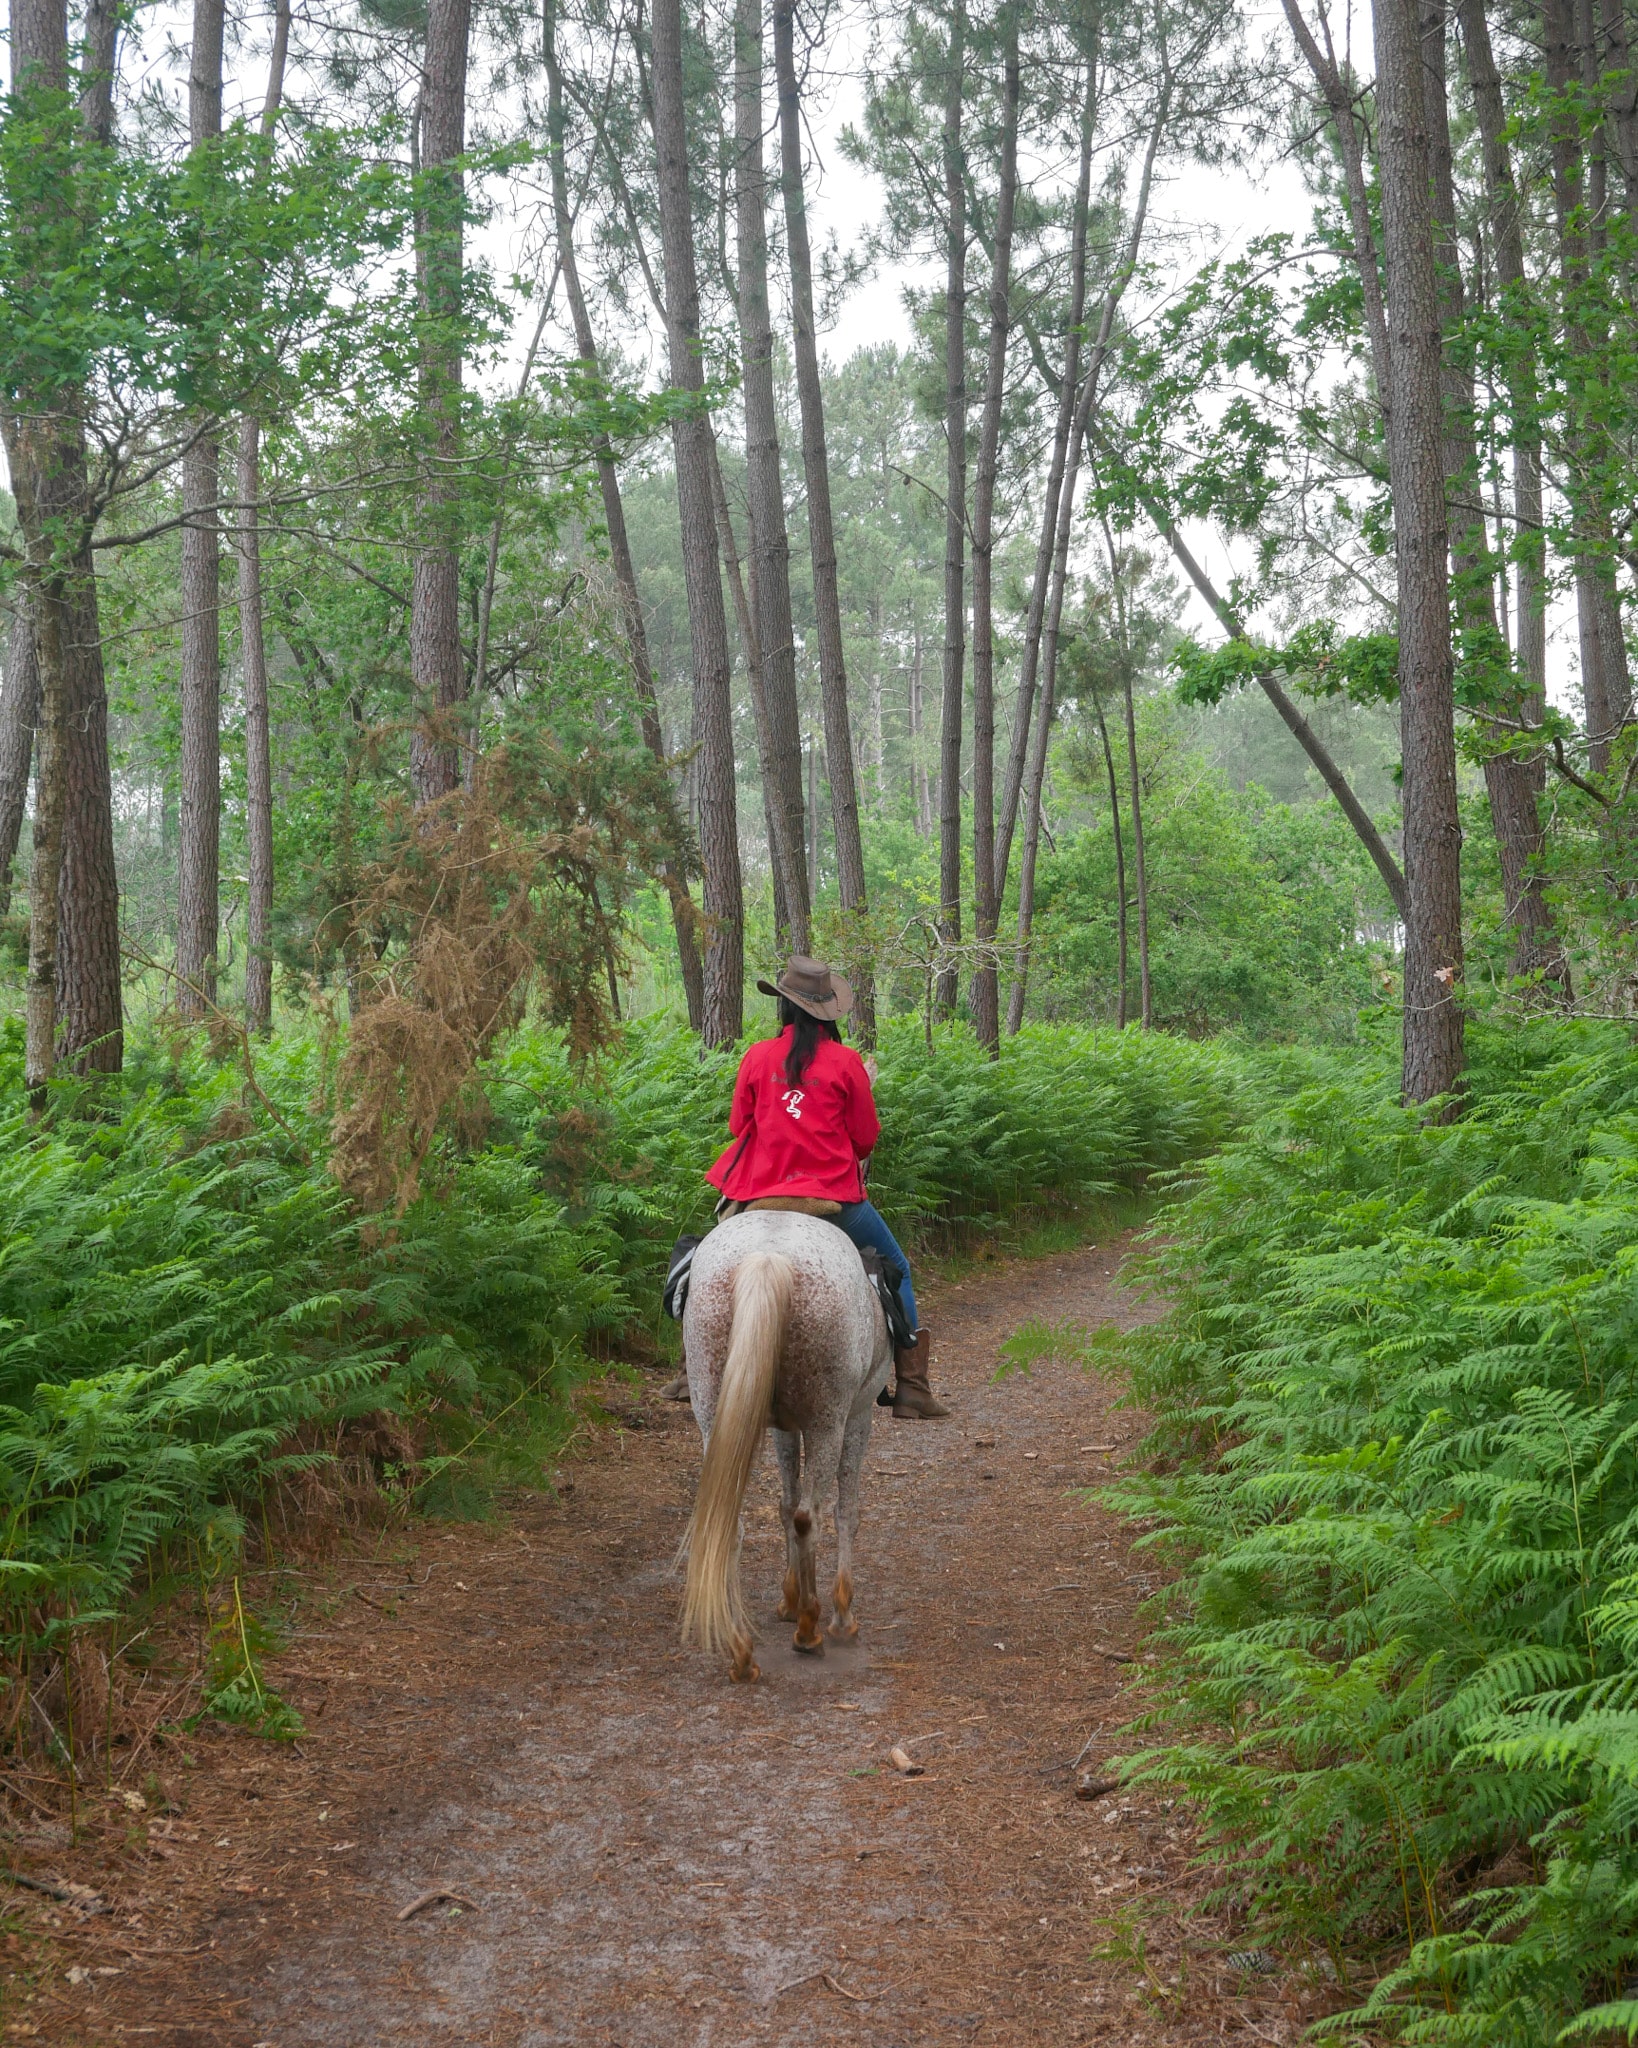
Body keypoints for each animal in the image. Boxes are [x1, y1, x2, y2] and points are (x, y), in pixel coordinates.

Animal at [679, 1207, 892, 1682]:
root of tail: (765, 1258)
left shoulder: (781, 1426)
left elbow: (782, 1503)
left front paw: (789, 1599)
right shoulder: (857, 1416)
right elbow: (845, 1512)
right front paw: (839, 1616)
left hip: (713, 1410)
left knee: (730, 1525)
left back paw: (742, 1650)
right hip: (828, 1421)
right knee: (809, 1516)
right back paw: (810, 1631)